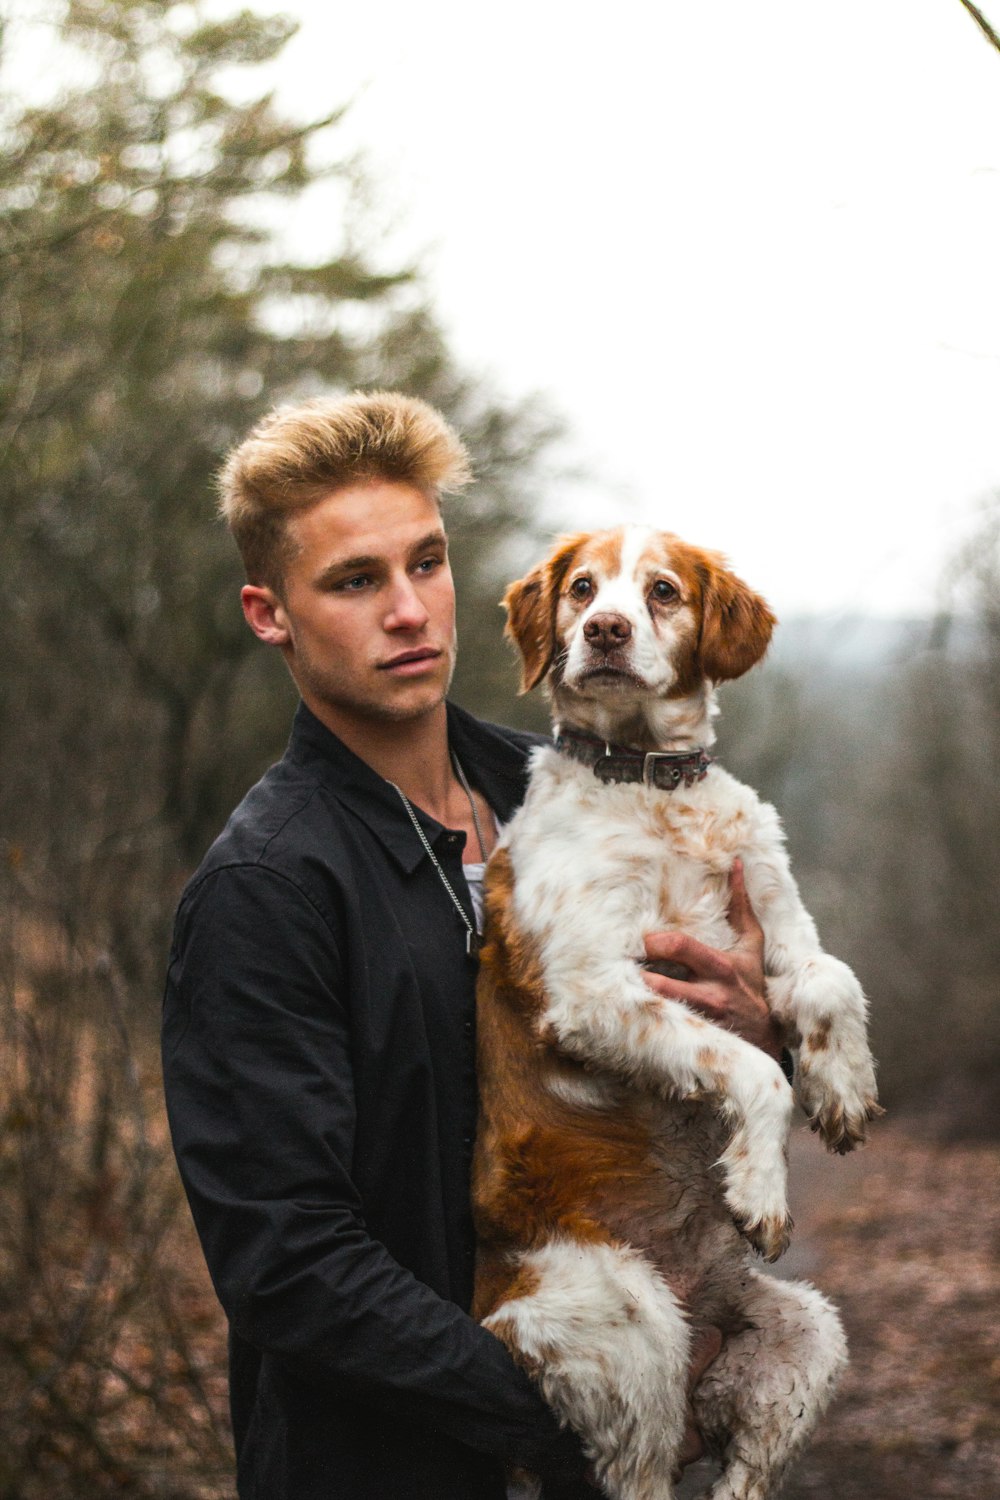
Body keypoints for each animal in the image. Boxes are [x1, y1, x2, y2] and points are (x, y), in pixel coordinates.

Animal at [473, 528, 881, 1500]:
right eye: (582, 589)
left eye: (662, 591)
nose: (605, 632)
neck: (653, 786)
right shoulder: (592, 992)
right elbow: (757, 1070)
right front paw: (762, 1190)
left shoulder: (770, 928)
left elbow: (831, 980)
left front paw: (844, 1088)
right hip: (633, 1325)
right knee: (642, 1471)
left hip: (806, 1337)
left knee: (742, 1475)